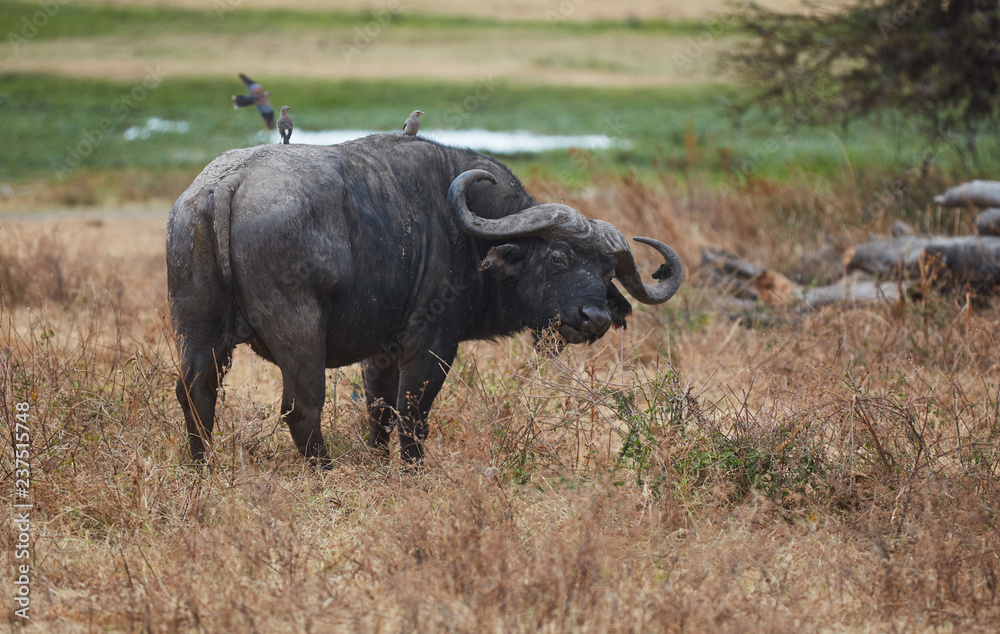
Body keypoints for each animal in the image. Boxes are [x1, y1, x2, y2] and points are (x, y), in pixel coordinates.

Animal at [168, 133, 684, 462]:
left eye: (605, 272)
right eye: (558, 257)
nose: (595, 316)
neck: (467, 237)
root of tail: (228, 184)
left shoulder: (379, 352)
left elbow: (378, 410)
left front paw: (379, 464)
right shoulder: (431, 345)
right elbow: (412, 416)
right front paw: (412, 471)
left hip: (197, 330)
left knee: (195, 392)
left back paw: (202, 466)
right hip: (298, 332)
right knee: (302, 406)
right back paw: (324, 470)